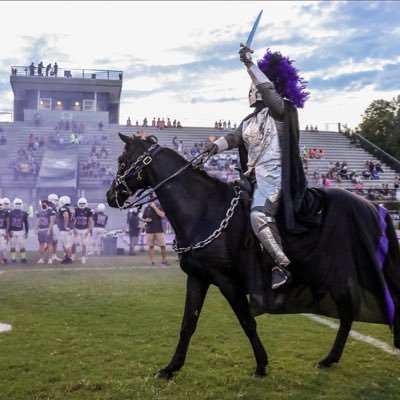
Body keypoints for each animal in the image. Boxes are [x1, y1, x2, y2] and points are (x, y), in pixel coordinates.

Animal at [106, 134, 400, 378]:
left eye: (122, 161)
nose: (110, 196)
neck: (204, 209)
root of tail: (376, 206)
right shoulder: (198, 278)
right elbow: (188, 323)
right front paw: (171, 368)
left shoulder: (227, 281)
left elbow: (247, 321)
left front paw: (261, 365)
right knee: (348, 313)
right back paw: (329, 359)